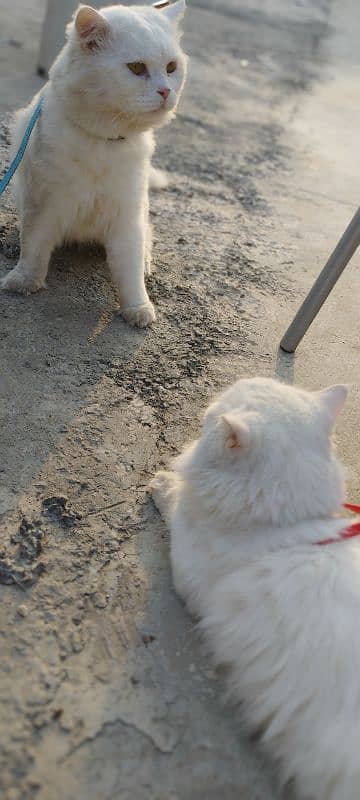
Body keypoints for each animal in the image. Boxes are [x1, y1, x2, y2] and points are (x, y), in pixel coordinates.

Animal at [2, 0, 188, 324]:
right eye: (137, 68)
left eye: (171, 68)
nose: (166, 91)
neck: (104, 140)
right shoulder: (44, 202)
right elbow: (34, 248)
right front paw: (24, 282)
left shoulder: (127, 215)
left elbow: (129, 269)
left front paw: (137, 309)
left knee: (146, 240)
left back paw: (147, 264)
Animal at [151, 376, 360, 800]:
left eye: (209, 417)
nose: (207, 408)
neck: (291, 524)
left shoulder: (187, 566)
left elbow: (176, 504)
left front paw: (163, 483)